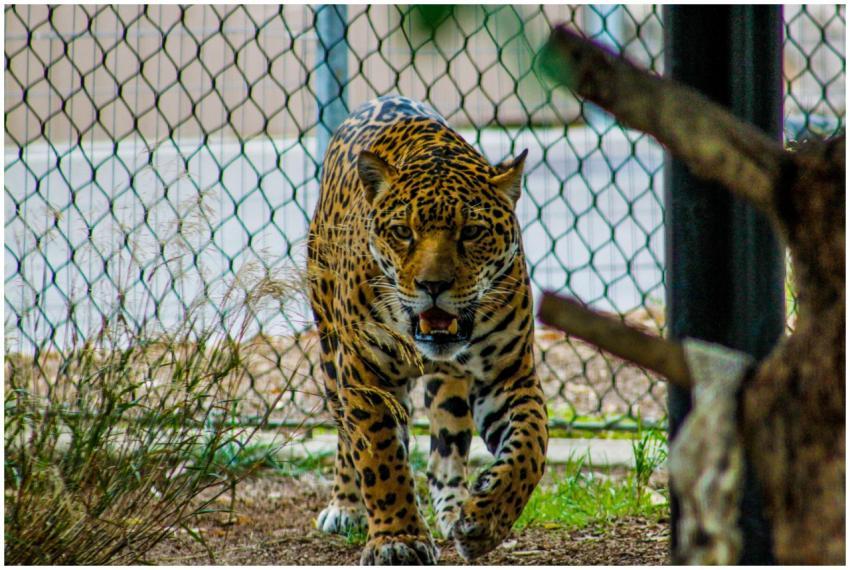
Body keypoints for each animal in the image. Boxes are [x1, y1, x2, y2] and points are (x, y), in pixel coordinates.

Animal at [307, 95, 548, 565]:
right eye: (403, 232)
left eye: (471, 232)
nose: (433, 286)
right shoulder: (365, 374)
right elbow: (380, 458)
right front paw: (397, 539)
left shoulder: (508, 374)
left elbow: (531, 445)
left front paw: (486, 517)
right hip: (330, 351)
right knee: (346, 436)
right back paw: (347, 506)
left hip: (449, 386)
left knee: (446, 450)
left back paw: (454, 509)